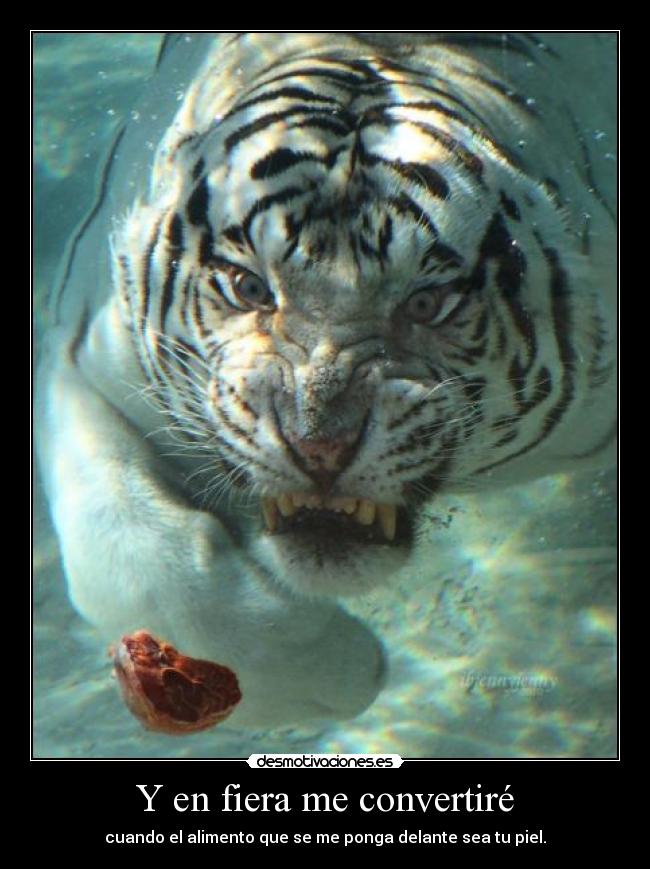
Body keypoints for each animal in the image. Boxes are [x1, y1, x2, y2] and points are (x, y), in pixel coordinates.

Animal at [35, 32, 616, 729]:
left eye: (427, 304)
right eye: (249, 287)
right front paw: (336, 669)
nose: (319, 448)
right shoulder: (85, 357)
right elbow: (129, 559)